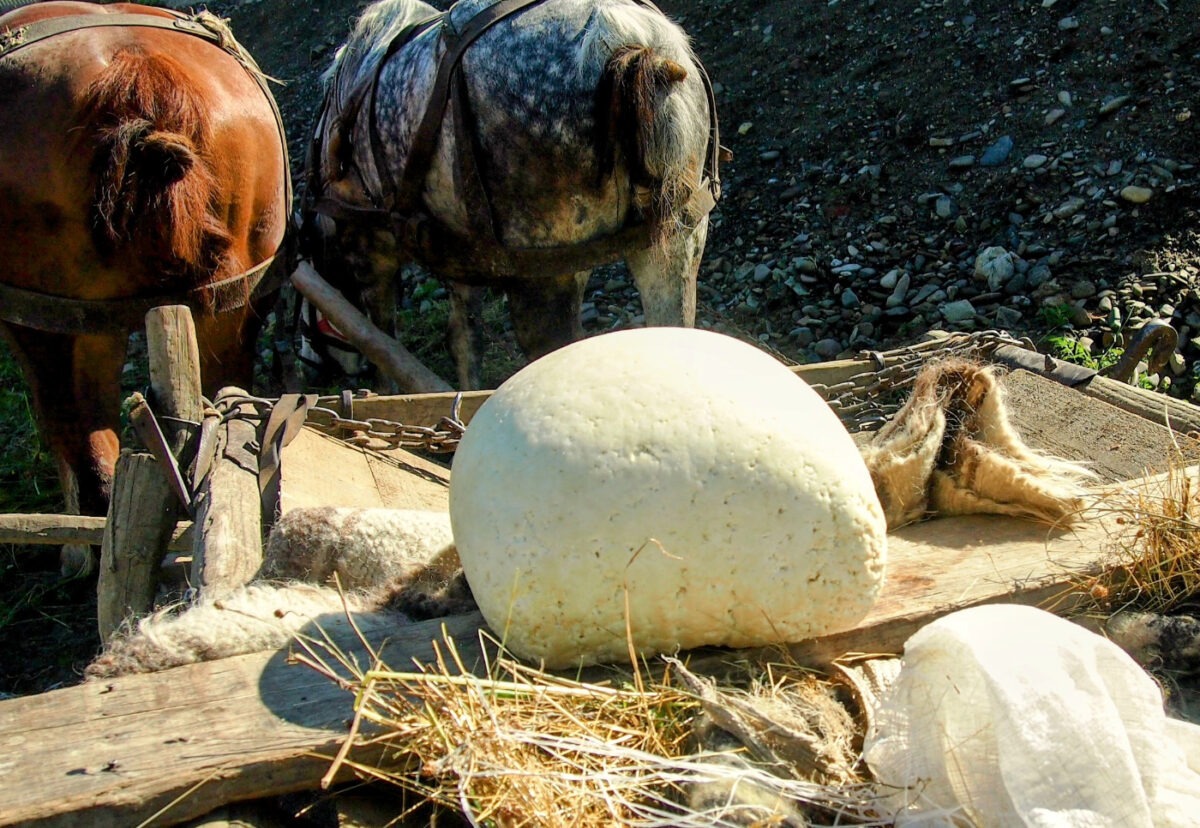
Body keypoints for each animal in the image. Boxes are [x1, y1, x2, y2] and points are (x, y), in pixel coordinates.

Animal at [300, 0, 720, 390]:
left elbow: (382, 342)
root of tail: (629, 41)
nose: (314, 370)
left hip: (543, 276)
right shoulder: (459, 254)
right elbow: (464, 340)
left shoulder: (370, 251)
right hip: (676, 243)